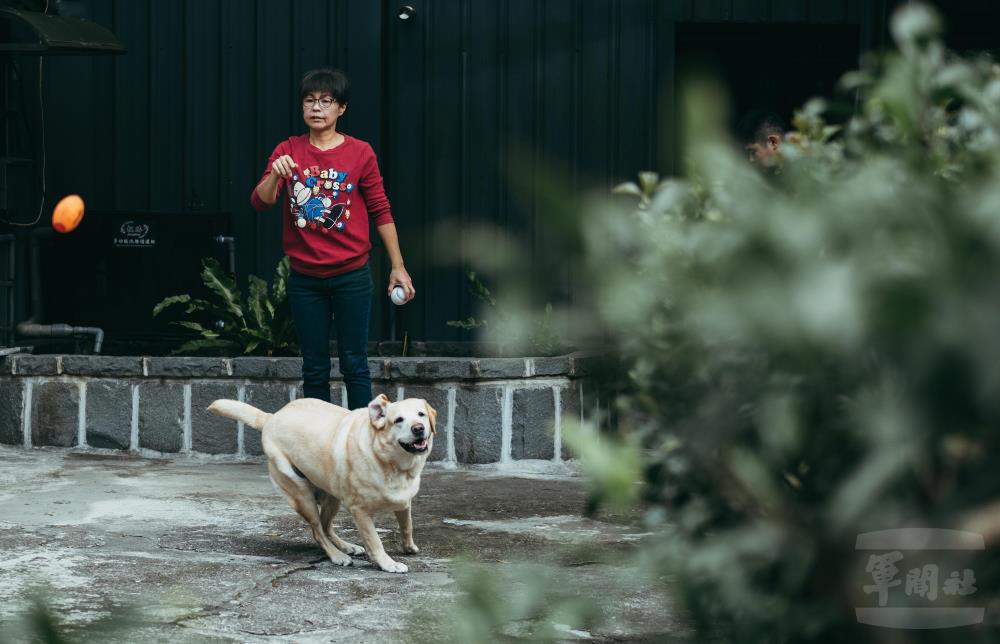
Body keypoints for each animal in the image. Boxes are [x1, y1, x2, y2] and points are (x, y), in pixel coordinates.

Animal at [207, 392, 434, 572]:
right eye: (398, 420)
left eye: (421, 414)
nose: (418, 428)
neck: (391, 463)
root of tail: (271, 417)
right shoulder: (360, 511)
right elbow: (375, 541)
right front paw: (388, 564)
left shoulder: (404, 502)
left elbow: (407, 525)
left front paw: (409, 547)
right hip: (302, 495)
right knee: (318, 531)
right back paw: (338, 556)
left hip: (332, 496)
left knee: (326, 526)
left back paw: (347, 547)